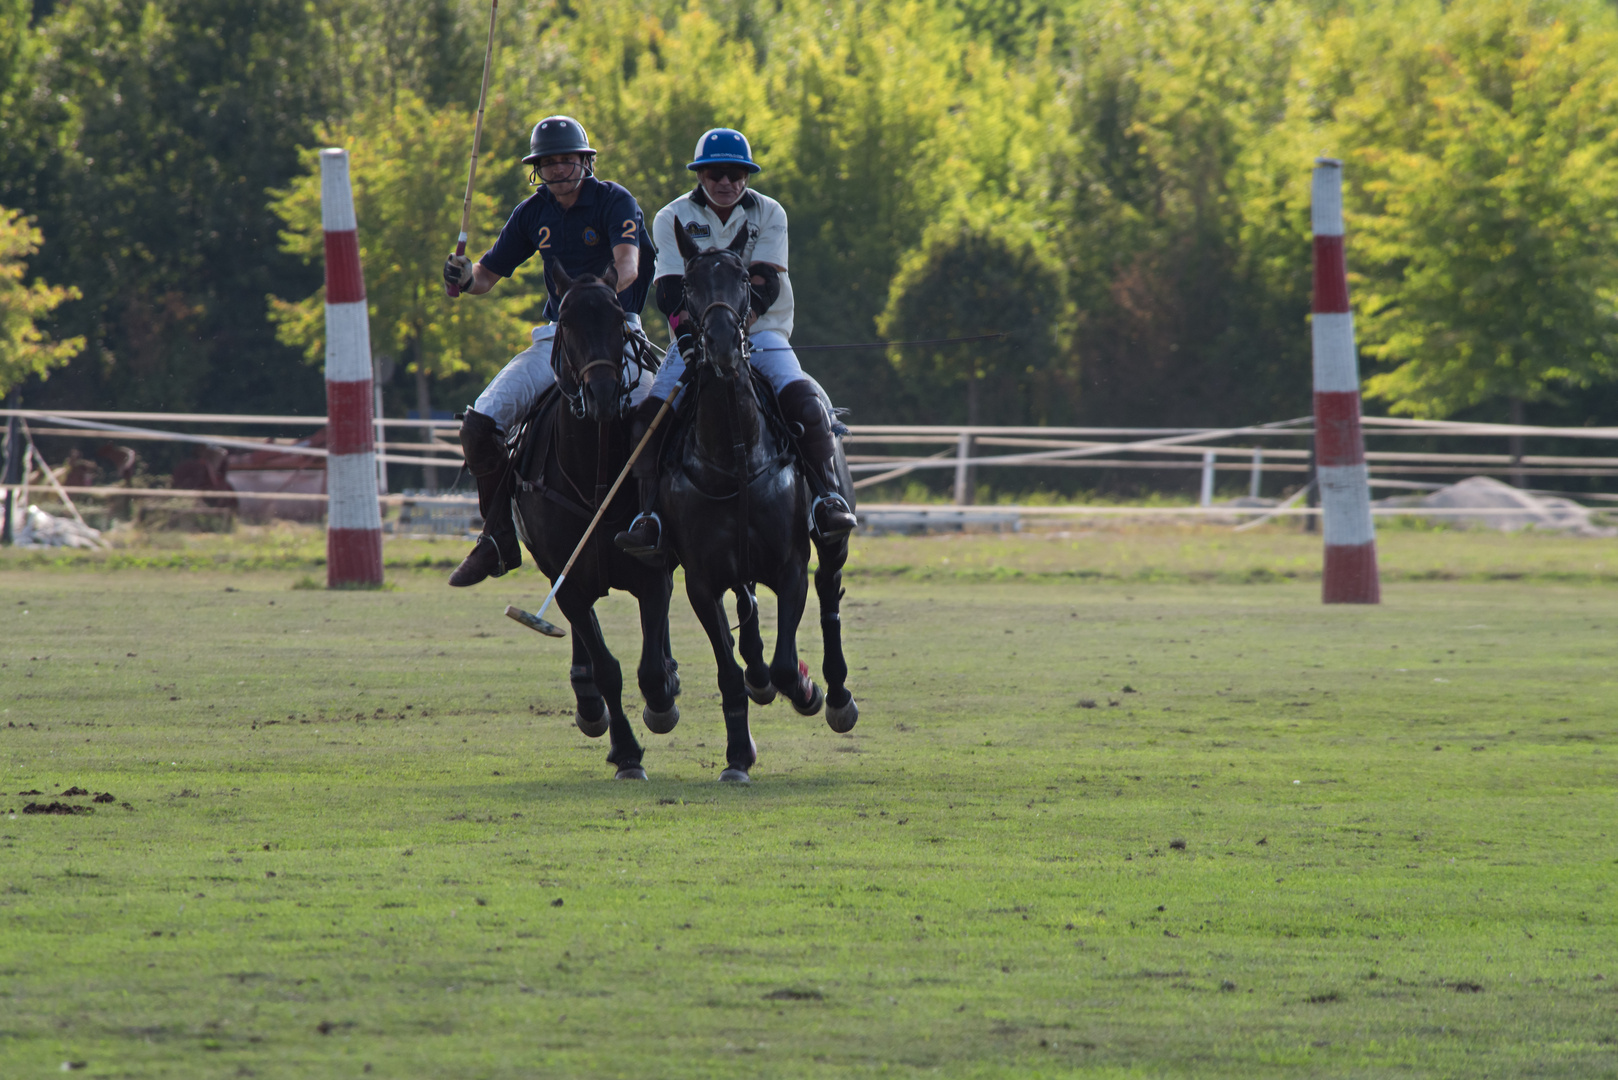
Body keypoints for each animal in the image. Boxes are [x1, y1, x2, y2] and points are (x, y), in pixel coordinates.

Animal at [511, 265, 676, 780]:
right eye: (565, 323)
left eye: (619, 322)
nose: (602, 394)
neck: (595, 477)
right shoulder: (569, 584)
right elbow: (607, 668)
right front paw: (626, 753)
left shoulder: (652, 574)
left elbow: (649, 668)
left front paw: (662, 704)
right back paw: (586, 700)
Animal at [656, 229, 860, 786]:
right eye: (688, 284)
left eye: (746, 278)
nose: (724, 345)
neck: (735, 457)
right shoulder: (701, 580)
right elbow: (728, 672)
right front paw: (736, 758)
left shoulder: (790, 566)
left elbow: (789, 662)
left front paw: (807, 692)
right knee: (747, 619)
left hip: (832, 539)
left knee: (829, 593)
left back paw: (835, 695)